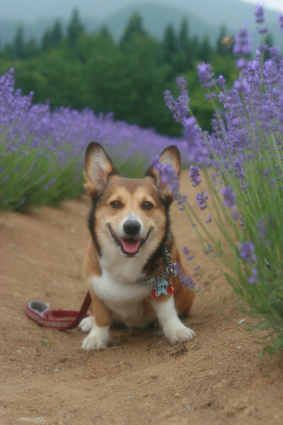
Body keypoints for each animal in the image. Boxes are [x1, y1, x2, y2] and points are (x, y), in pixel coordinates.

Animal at [79, 141, 196, 350]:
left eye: (147, 205)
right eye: (116, 204)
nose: (132, 227)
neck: (126, 264)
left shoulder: (164, 287)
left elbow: (166, 311)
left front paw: (176, 331)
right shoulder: (95, 289)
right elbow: (101, 316)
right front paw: (96, 337)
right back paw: (88, 321)